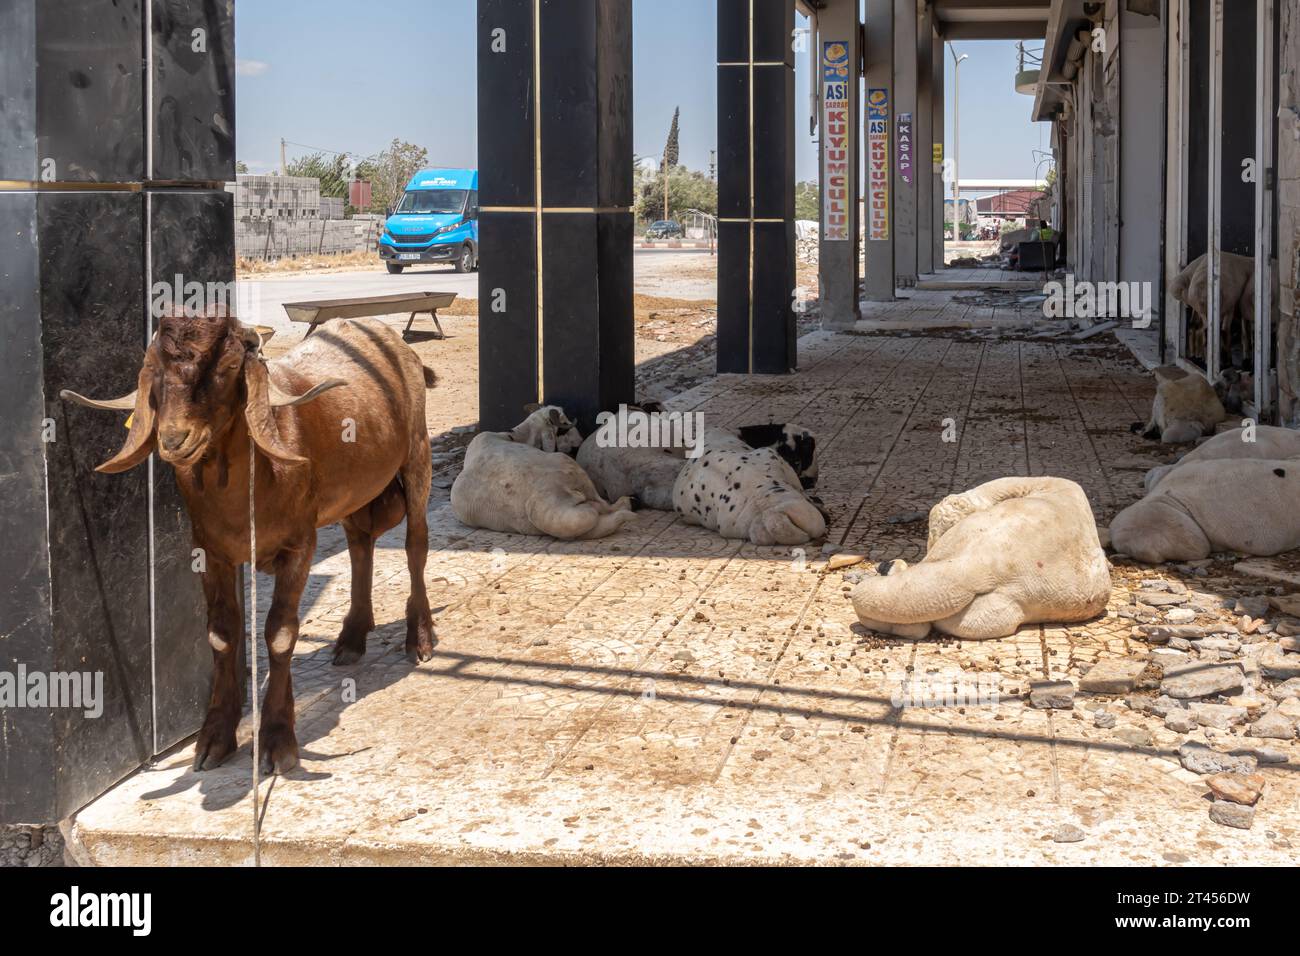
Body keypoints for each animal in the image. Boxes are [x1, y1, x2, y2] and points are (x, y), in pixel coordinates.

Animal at [61, 312, 437, 774]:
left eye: (224, 371)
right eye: (157, 373)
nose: (174, 440)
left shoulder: (299, 545)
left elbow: (280, 633)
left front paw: (278, 741)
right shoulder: (210, 552)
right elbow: (221, 635)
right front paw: (214, 740)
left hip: (417, 454)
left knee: (415, 544)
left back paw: (419, 638)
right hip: (356, 490)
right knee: (360, 544)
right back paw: (351, 638)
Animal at [451, 405, 638, 540]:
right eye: (564, 428)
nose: (580, 440)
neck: (512, 436)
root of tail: (562, 488)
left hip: (565, 517)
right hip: (570, 495)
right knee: (604, 510)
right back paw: (628, 505)